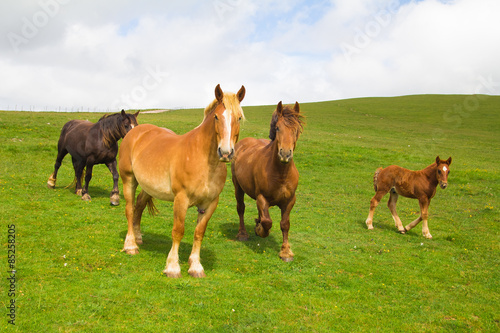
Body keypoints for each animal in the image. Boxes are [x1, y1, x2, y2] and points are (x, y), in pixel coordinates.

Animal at [121, 84, 246, 276]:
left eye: (239, 117)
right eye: (216, 117)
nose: (225, 152)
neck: (204, 161)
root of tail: (135, 131)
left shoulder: (210, 203)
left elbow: (199, 232)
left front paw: (195, 266)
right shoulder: (181, 199)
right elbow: (178, 231)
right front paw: (172, 266)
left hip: (148, 187)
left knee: (139, 206)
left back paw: (138, 236)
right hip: (128, 179)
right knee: (129, 209)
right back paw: (131, 245)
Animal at [230, 101, 304, 262]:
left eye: (296, 130)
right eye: (278, 128)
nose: (285, 154)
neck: (281, 173)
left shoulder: (290, 200)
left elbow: (285, 224)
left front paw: (286, 252)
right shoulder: (262, 197)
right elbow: (267, 222)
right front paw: (260, 230)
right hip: (238, 187)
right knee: (241, 208)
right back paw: (243, 233)